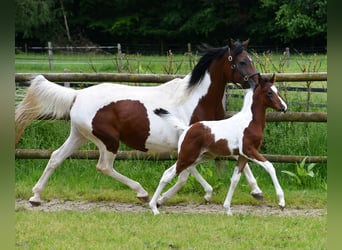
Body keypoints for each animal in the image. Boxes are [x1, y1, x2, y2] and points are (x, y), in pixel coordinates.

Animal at [14, 39, 260, 206]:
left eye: (250, 59)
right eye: (241, 61)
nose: (257, 83)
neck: (196, 100)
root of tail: (78, 95)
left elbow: (236, 161)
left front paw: (255, 191)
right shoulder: (191, 142)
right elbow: (185, 174)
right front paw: (164, 198)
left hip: (79, 136)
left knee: (56, 157)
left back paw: (35, 196)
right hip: (108, 141)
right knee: (104, 166)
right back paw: (141, 192)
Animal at [149, 73, 286, 215]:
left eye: (277, 91)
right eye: (269, 92)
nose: (284, 107)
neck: (249, 122)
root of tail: (186, 129)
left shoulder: (243, 156)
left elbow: (235, 179)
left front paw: (227, 209)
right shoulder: (248, 150)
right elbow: (270, 166)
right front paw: (281, 202)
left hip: (201, 157)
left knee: (172, 171)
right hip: (187, 157)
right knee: (168, 175)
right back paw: (154, 208)